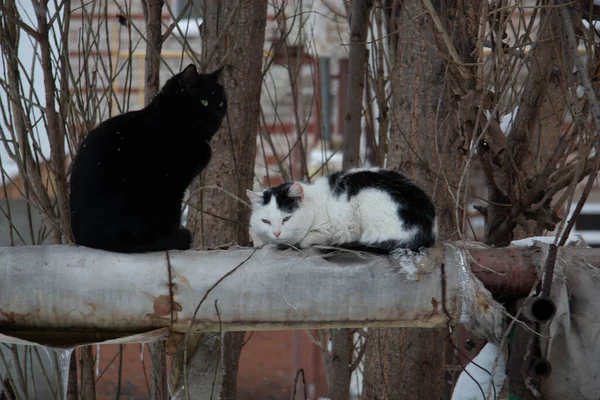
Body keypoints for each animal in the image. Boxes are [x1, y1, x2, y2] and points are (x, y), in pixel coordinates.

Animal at [69, 65, 227, 253]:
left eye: (221, 104)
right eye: (204, 102)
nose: (218, 117)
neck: (173, 122)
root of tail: (89, 240)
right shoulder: (172, 184)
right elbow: (172, 215)